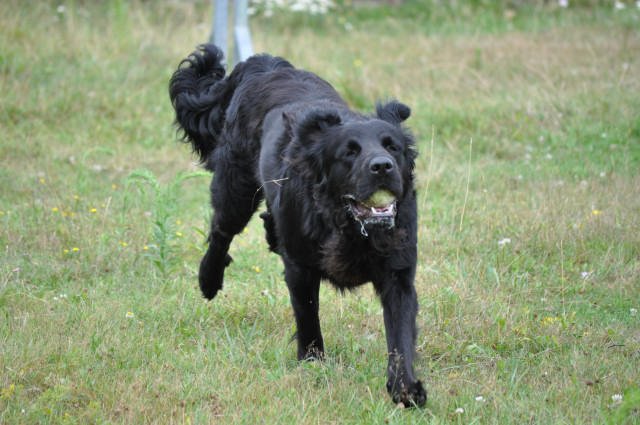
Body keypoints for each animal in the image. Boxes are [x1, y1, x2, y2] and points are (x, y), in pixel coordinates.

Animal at [170, 44, 424, 406]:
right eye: (349, 152)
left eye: (393, 147)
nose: (382, 166)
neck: (348, 226)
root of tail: (264, 64)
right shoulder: (301, 268)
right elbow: (307, 314)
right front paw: (313, 361)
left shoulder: (397, 270)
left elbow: (400, 334)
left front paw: (405, 389)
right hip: (236, 189)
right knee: (222, 231)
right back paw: (209, 279)